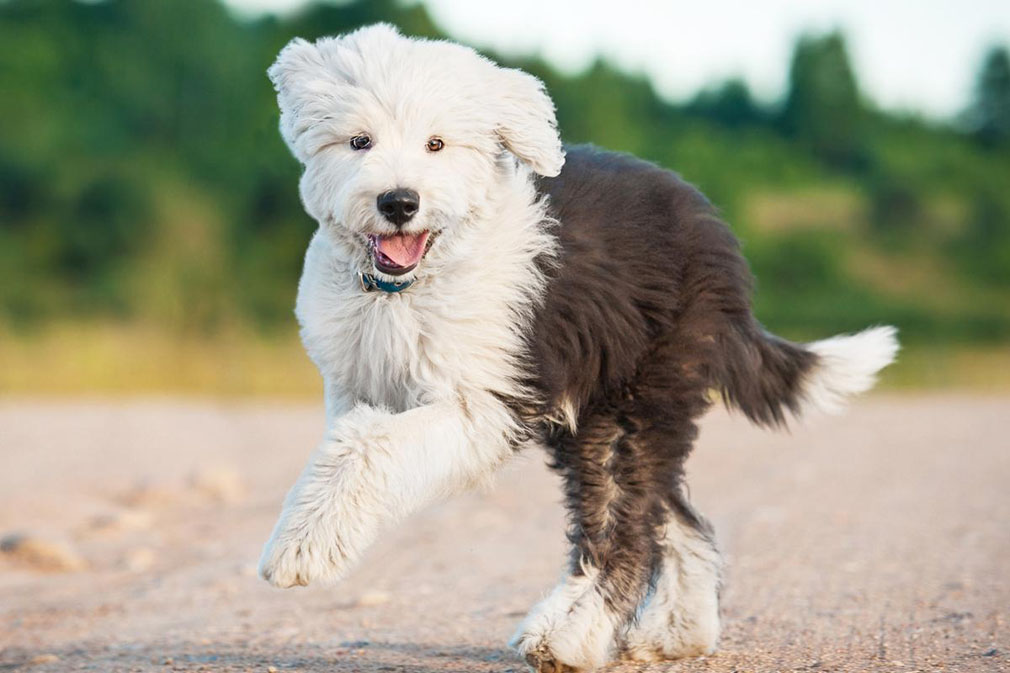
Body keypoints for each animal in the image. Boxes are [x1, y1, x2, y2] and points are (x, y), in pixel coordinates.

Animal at [258, 22, 900, 670]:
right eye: (359, 141)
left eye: (436, 144)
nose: (399, 202)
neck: (404, 291)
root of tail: (717, 241)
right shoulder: (355, 382)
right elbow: (345, 448)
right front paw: (310, 533)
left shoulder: (484, 402)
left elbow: (368, 447)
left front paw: (298, 550)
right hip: (608, 408)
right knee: (673, 515)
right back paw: (677, 632)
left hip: (635, 399)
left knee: (629, 526)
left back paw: (568, 636)